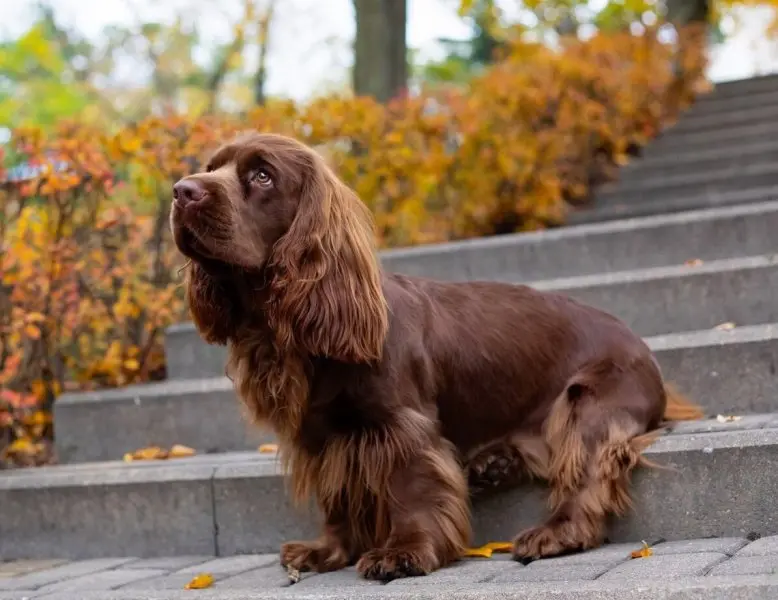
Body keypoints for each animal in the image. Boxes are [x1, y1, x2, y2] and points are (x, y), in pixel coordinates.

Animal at [170, 131, 704, 580]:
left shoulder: (402, 426)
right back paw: (493, 464)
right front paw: (327, 550)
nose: (181, 191)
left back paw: (554, 533)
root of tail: (645, 349)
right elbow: (336, 496)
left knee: (585, 476)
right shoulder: (321, 438)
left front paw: (404, 552)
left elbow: (412, 487)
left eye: (262, 175)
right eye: (211, 167)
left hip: (588, 400)